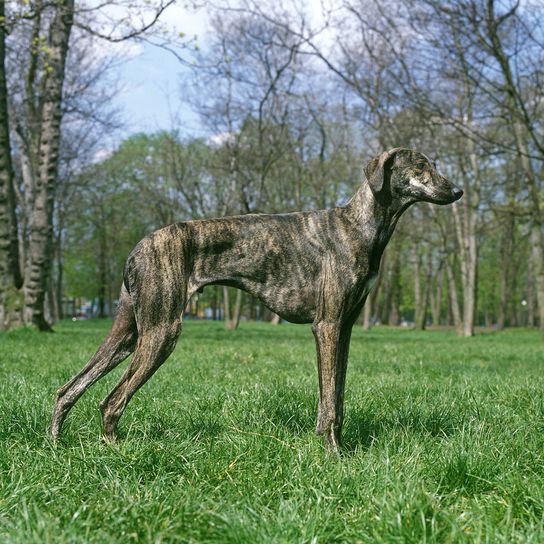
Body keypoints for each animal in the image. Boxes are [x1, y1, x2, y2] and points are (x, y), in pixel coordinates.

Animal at [51, 148, 462, 450]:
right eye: (421, 166)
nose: (457, 192)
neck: (358, 225)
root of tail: (138, 247)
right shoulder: (327, 326)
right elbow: (329, 402)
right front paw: (333, 453)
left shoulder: (344, 328)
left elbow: (338, 397)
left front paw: (338, 447)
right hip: (160, 332)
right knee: (110, 401)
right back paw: (114, 451)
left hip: (128, 333)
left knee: (68, 389)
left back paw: (56, 444)